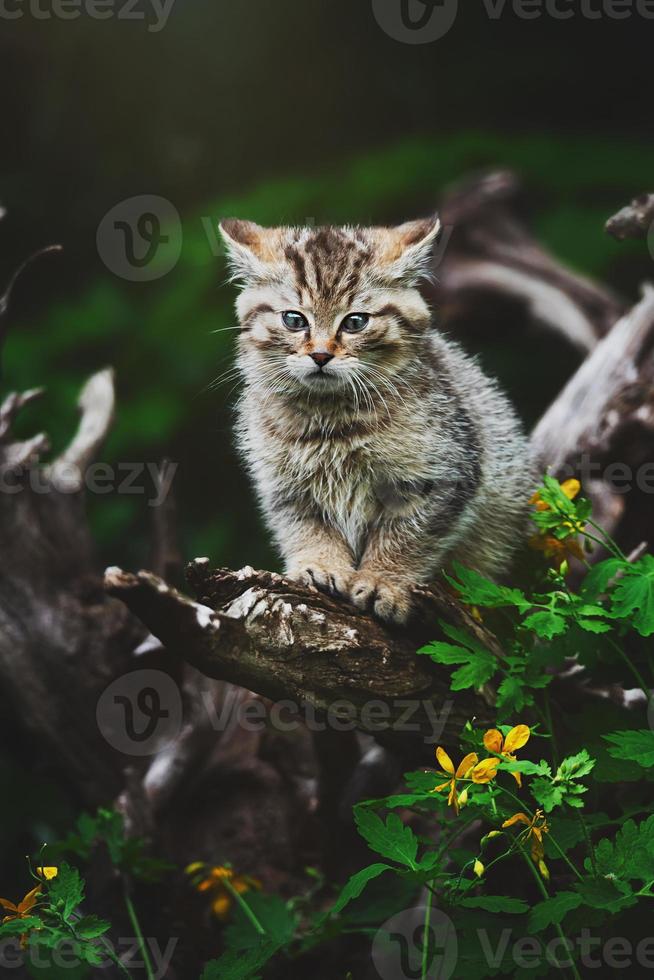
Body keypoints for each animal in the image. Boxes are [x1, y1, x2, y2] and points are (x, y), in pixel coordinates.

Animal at [220, 218, 540, 624]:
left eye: (355, 322)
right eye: (294, 320)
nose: (320, 355)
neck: (330, 419)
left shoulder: (443, 474)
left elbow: (406, 538)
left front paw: (383, 581)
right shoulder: (284, 488)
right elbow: (306, 530)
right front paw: (320, 566)